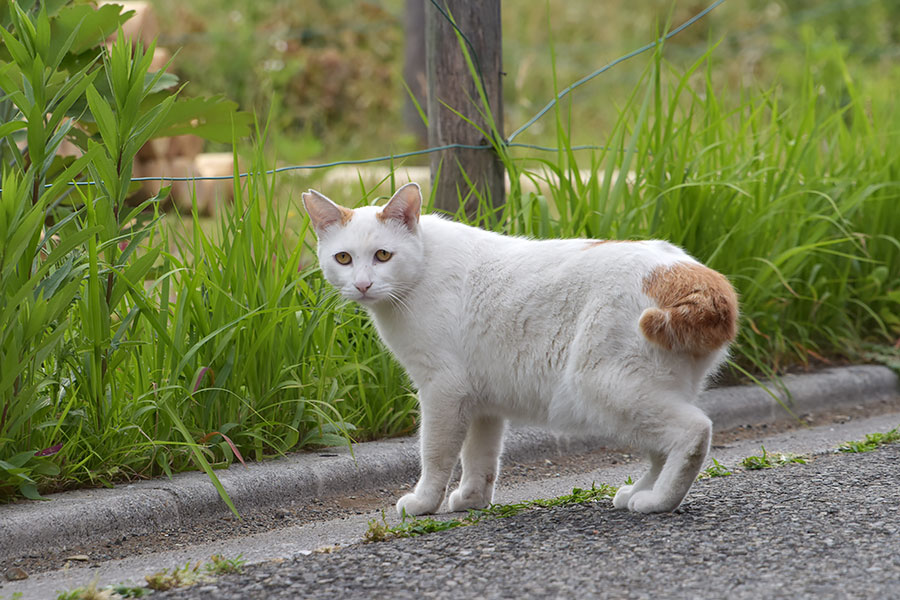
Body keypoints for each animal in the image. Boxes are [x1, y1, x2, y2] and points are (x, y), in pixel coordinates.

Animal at [302, 182, 740, 516]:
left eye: (382, 255)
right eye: (343, 258)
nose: (362, 284)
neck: (422, 267)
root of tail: (689, 273)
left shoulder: (443, 389)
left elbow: (436, 454)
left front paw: (425, 502)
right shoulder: (481, 400)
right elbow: (479, 456)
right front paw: (472, 499)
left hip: (603, 385)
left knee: (694, 432)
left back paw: (659, 501)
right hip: (644, 391)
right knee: (660, 448)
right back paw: (640, 492)